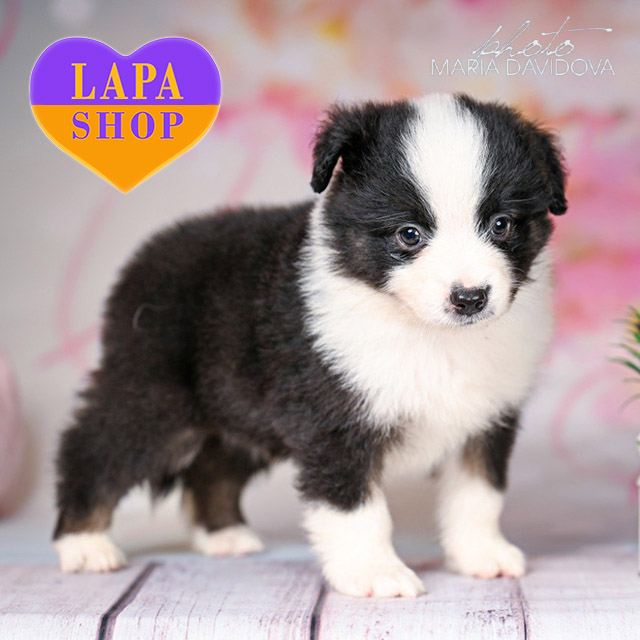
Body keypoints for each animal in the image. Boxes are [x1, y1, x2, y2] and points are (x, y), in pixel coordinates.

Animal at [53, 93, 567, 597]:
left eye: (501, 224)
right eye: (409, 234)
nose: (470, 297)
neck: (428, 333)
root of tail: (143, 258)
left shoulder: (486, 416)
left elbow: (479, 494)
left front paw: (482, 556)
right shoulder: (334, 419)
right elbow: (355, 506)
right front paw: (375, 574)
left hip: (236, 411)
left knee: (214, 465)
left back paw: (224, 535)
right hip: (153, 396)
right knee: (95, 448)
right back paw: (84, 544)